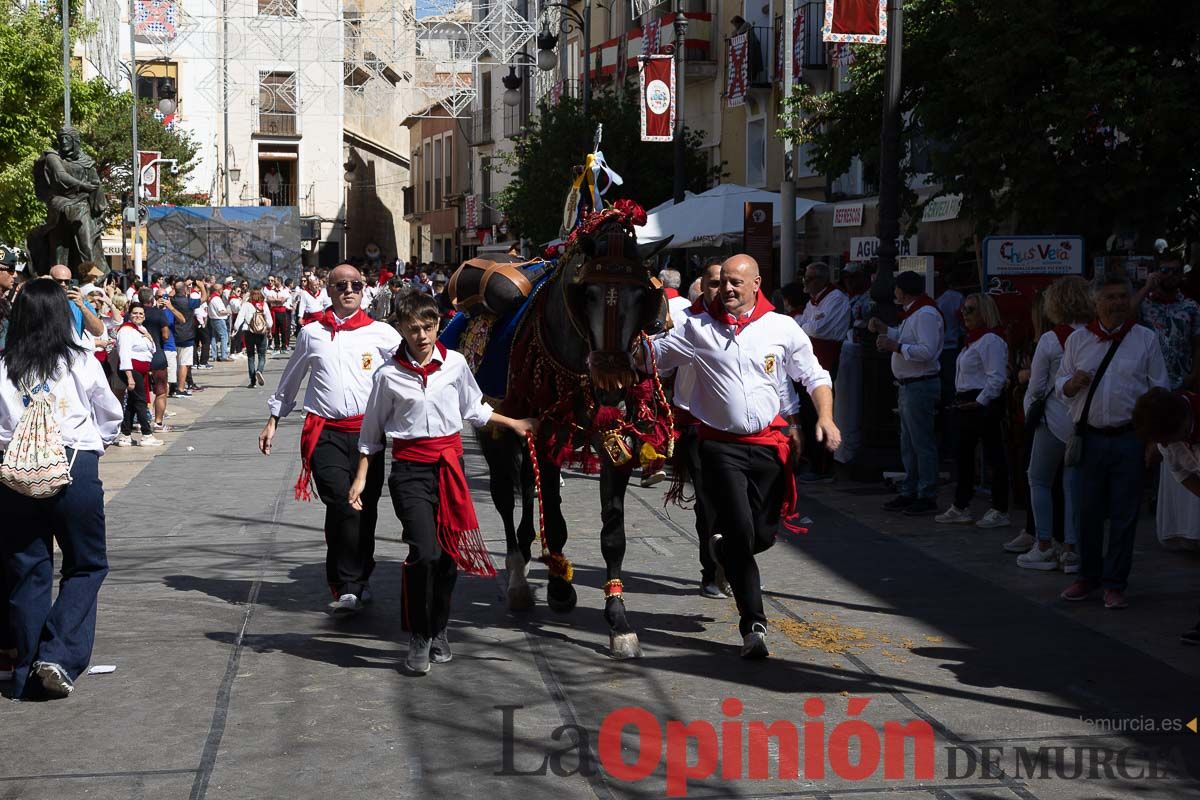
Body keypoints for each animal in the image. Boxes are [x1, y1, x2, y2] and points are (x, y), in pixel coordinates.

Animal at [446, 199, 676, 657]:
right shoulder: (548, 430)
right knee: (505, 495)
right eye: (587, 293)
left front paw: (618, 618)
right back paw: (518, 577)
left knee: (526, 485)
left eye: (643, 295)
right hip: (496, 430)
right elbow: (552, 512)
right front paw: (559, 588)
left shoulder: (615, 438)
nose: (611, 382)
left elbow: (612, 532)